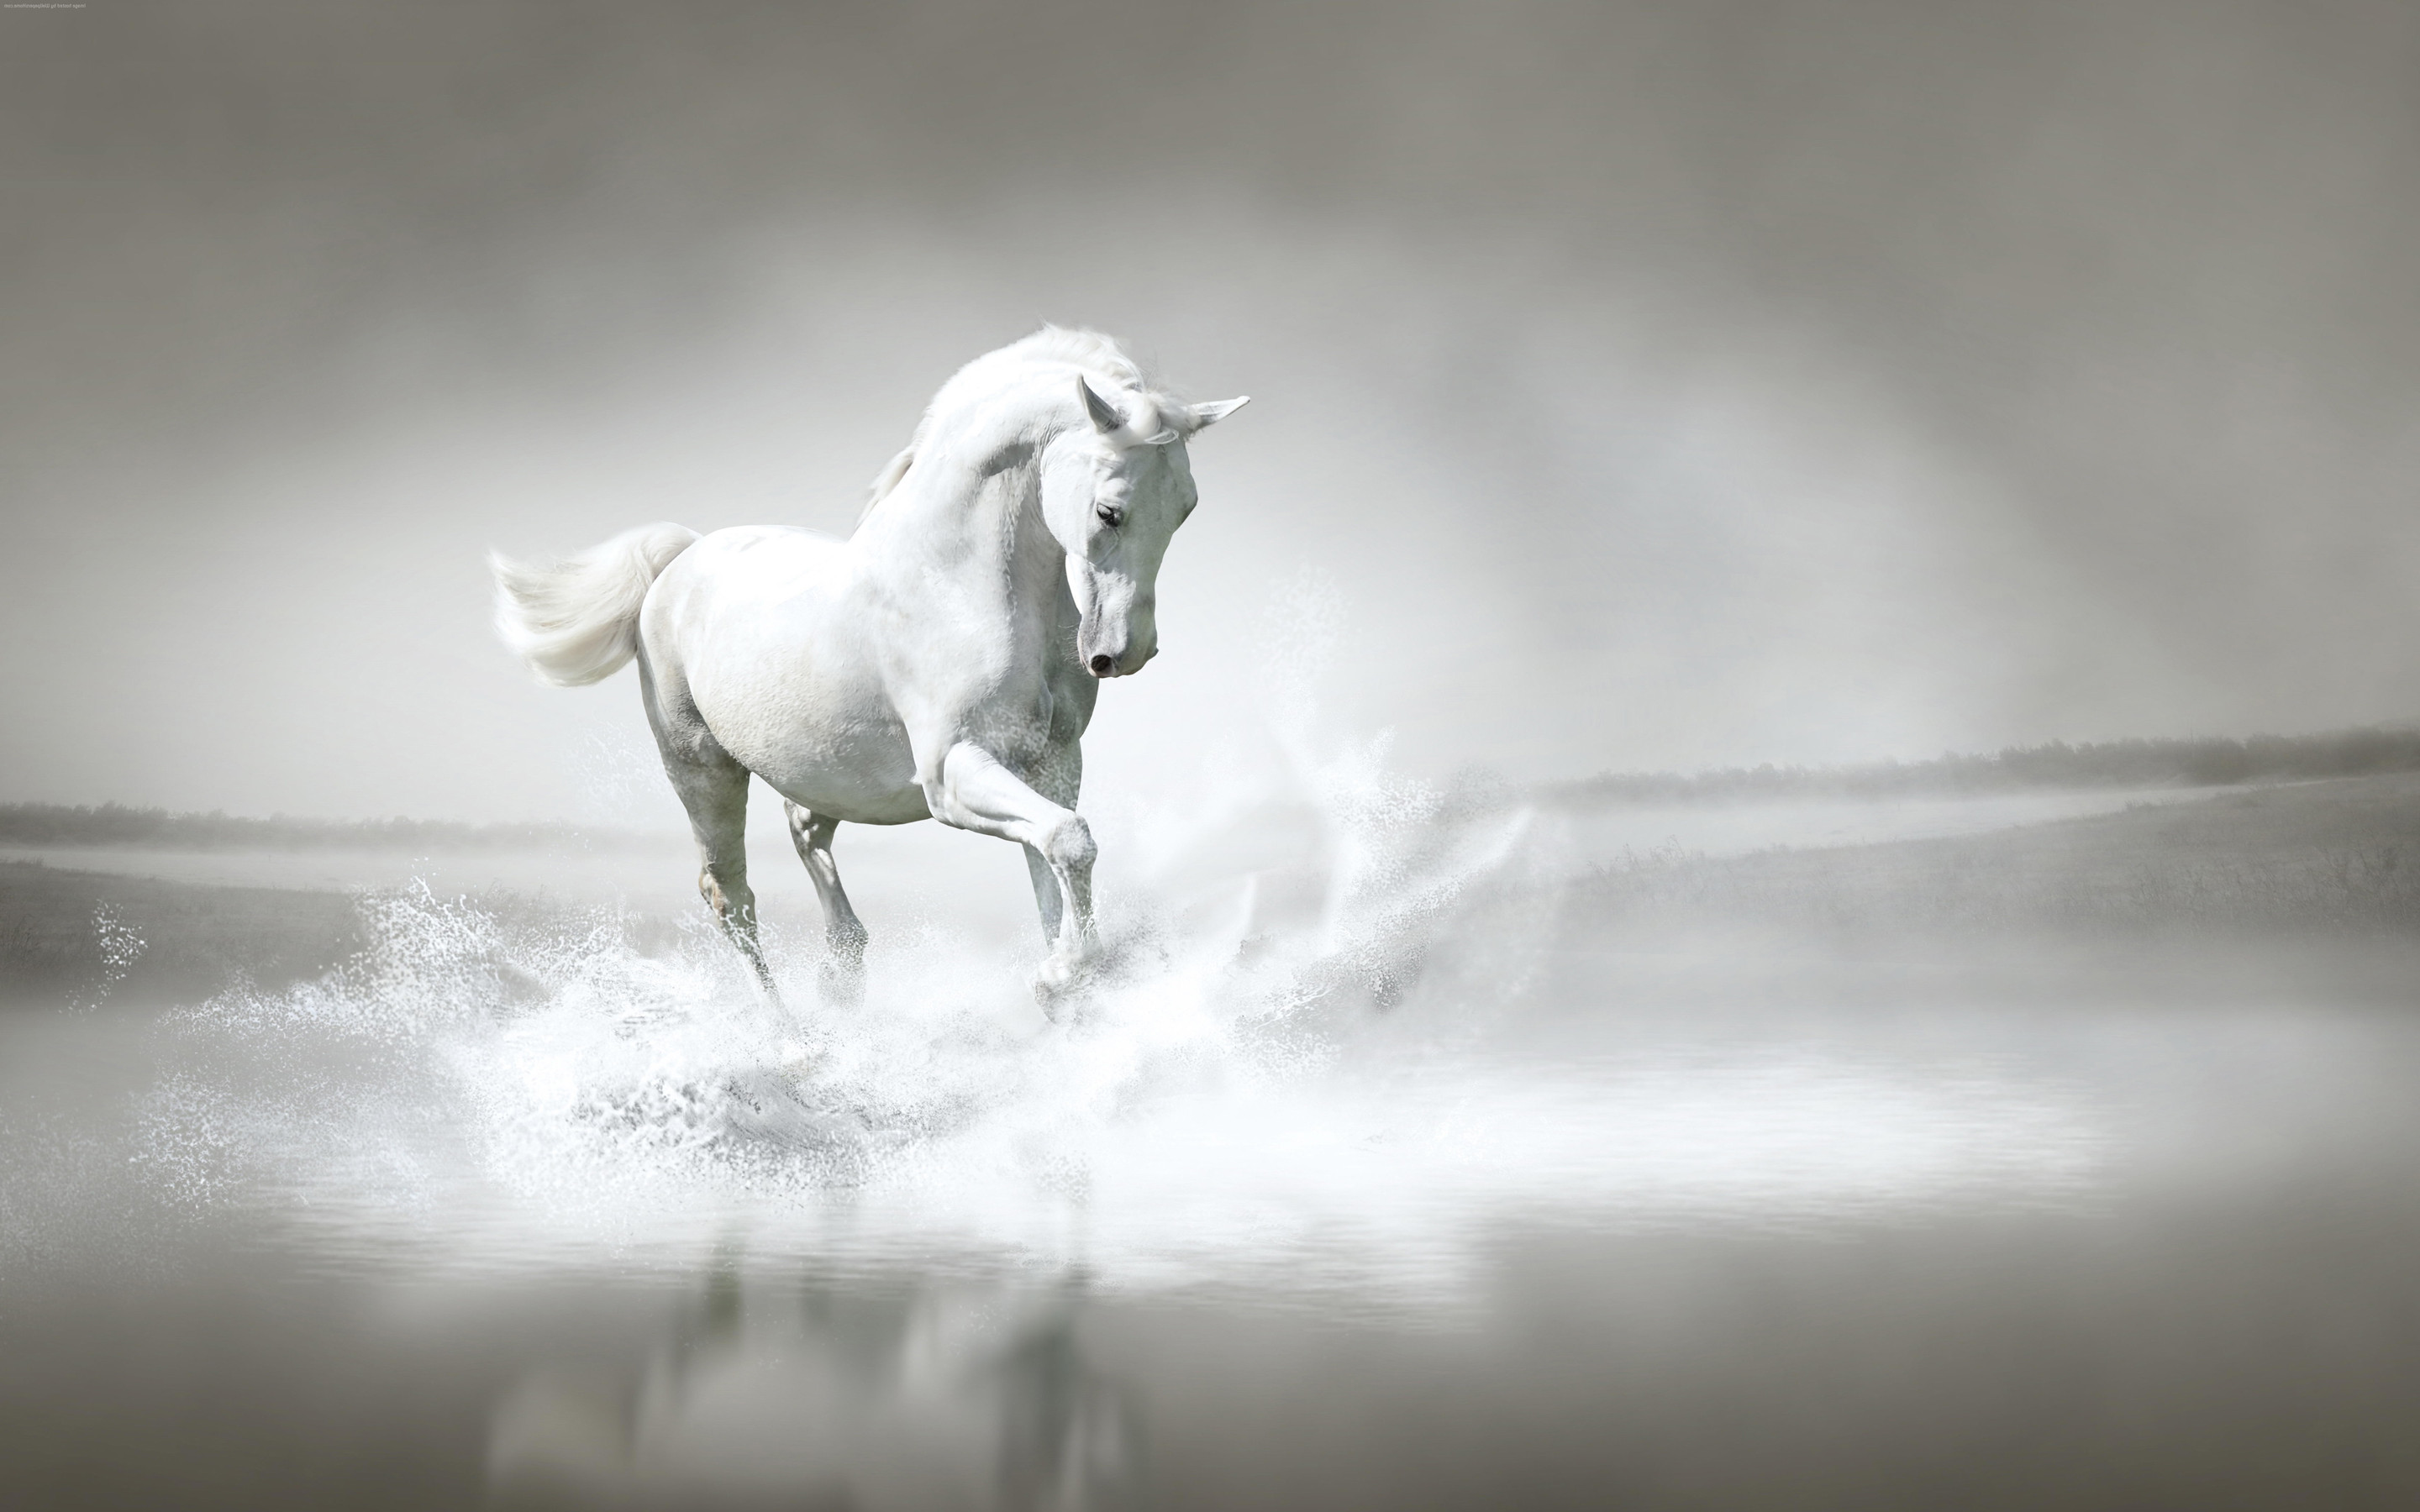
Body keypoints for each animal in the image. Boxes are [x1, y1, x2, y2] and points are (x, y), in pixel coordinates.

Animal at [489, 328, 1248, 1006]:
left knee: (804, 830)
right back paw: (793, 1041)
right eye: (1109, 511)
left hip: (828, 771)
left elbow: (1056, 864)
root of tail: (680, 561)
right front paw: (1061, 976)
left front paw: (1066, 978)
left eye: (1186, 509)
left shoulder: (1051, 763)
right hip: (701, 771)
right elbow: (1068, 841)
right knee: (731, 898)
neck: (956, 584)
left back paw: (842, 975)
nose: (1124, 652)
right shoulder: (953, 773)